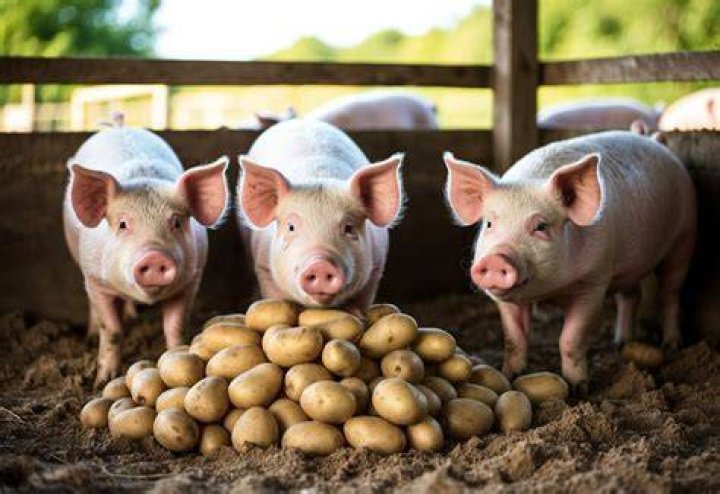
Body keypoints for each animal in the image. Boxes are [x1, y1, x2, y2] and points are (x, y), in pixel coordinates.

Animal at [64, 114, 229, 386]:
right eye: (122, 224)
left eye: (176, 222)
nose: (154, 256)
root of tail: (118, 126)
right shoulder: (96, 281)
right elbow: (112, 330)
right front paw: (103, 381)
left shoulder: (191, 280)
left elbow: (175, 326)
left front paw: (175, 356)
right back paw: (92, 335)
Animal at [236, 119, 404, 312]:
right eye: (291, 227)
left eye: (349, 228)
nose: (320, 264)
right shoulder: (263, 267)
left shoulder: (376, 269)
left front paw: (354, 312)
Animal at [444, 131, 696, 390]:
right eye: (489, 224)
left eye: (540, 226)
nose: (497, 257)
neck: (551, 291)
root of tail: (654, 140)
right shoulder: (506, 300)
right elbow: (514, 339)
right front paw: (511, 375)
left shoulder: (594, 283)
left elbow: (570, 339)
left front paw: (579, 387)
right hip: (629, 268)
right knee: (631, 295)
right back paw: (620, 342)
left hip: (684, 237)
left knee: (669, 294)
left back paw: (671, 345)